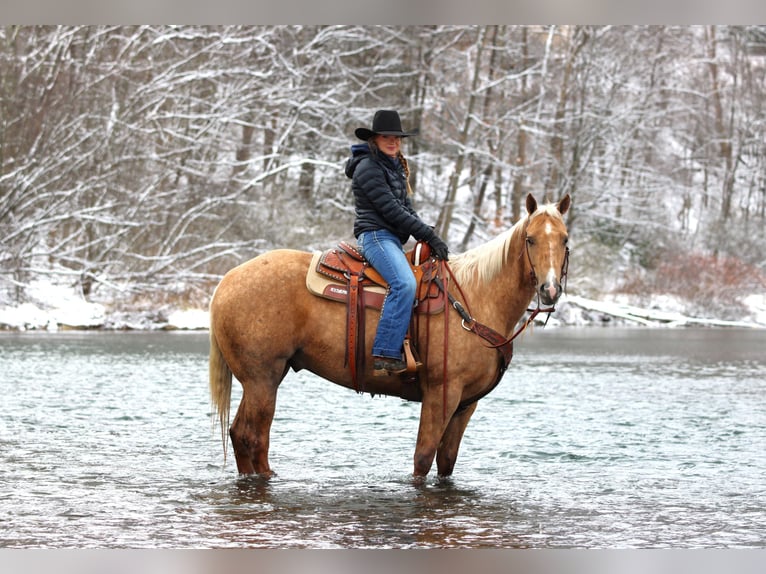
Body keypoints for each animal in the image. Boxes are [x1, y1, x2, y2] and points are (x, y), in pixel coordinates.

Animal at [209, 192, 570, 478]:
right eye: (530, 239)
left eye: (565, 239)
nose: (550, 289)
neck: (474, 296)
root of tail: (227, 280)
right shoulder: (441, 393)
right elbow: (423, 458)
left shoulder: (466, 404)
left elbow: (446, 462)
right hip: (262, 379)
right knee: (251, 436)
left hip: (264, 379)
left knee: (246, 436)